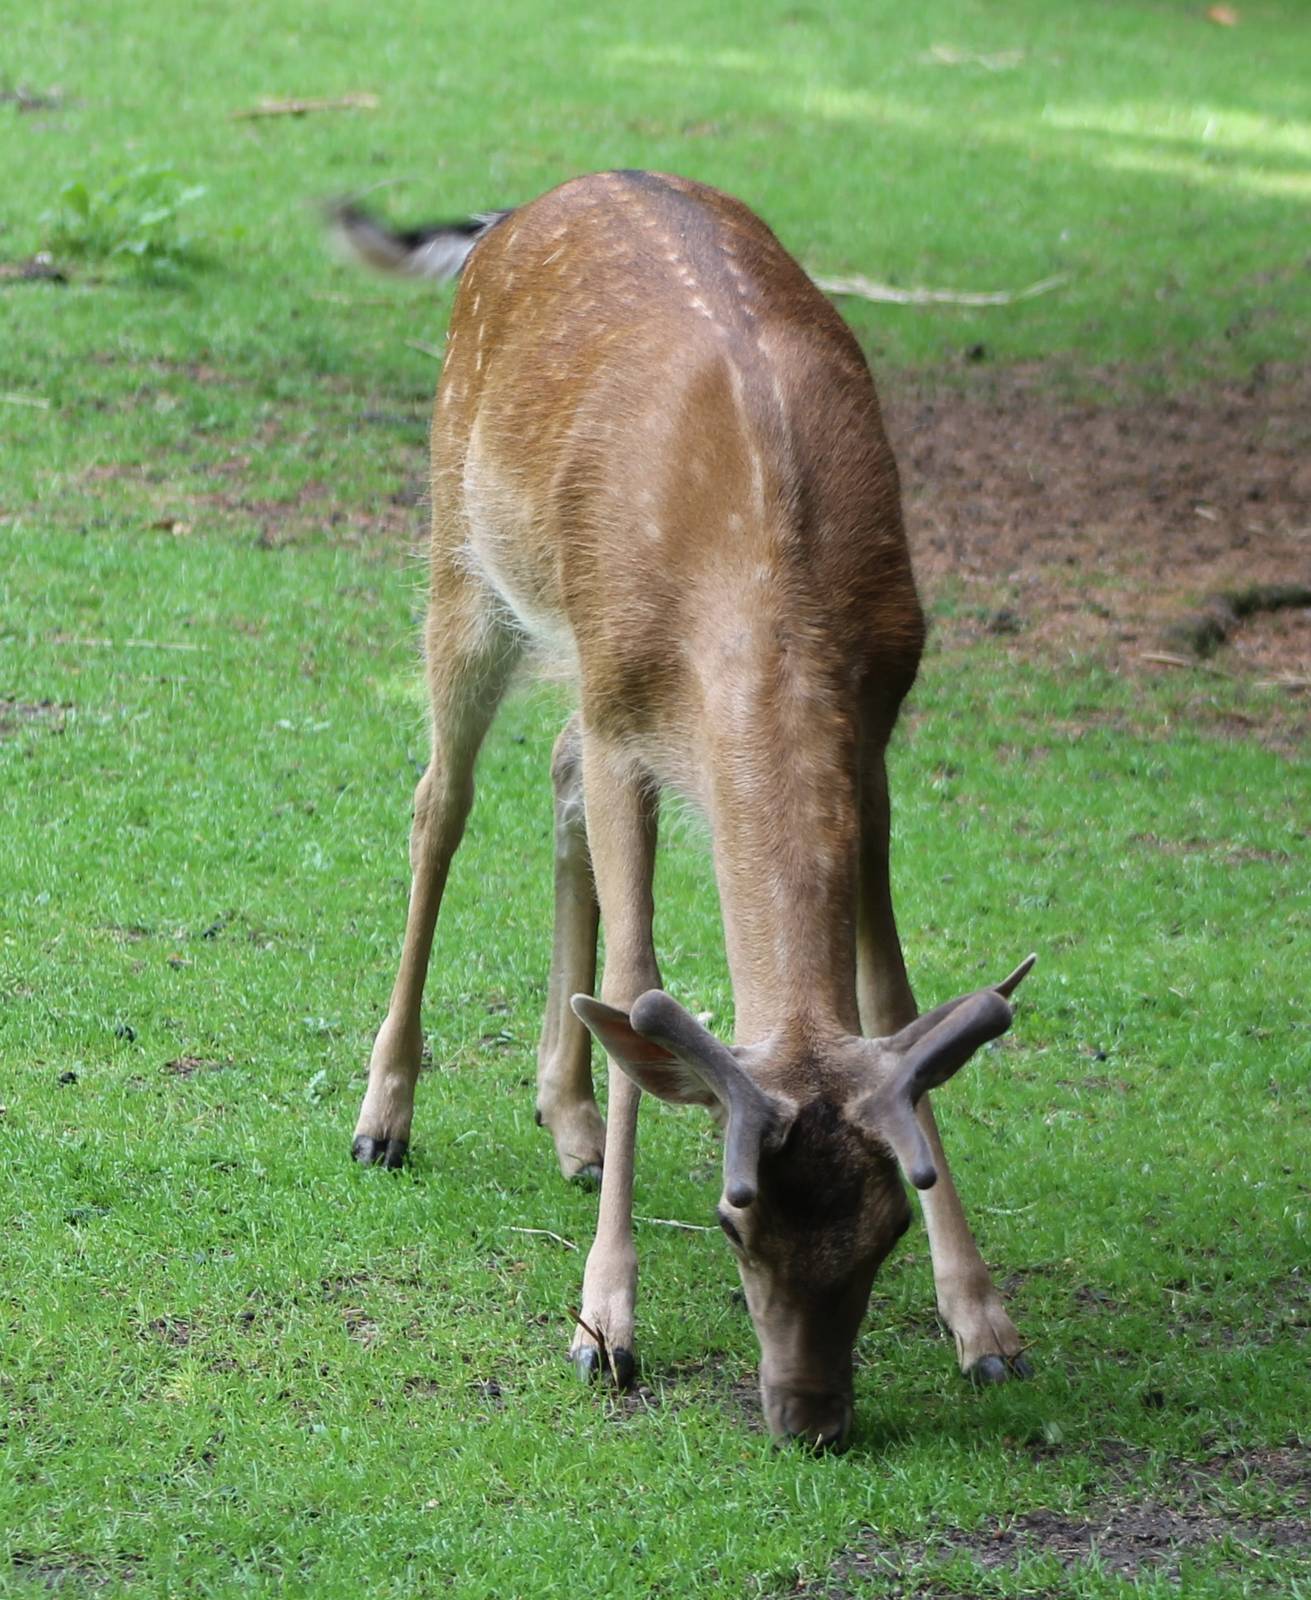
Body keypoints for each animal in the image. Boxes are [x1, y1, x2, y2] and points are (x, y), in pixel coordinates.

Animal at [334, 170, 1035, 1451]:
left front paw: (984, 1326)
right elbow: (636, 969)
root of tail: (517, 210)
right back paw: (385, 1116)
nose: (810, 1418)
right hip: (464, 557)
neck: (764, 590)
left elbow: (890, 993)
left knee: (554, 772)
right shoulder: (627, 710)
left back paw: (564, 1122)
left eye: (886, 1227)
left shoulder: (872, 739)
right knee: (440, 801)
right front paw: (603, 1326)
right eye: (730, 1219)